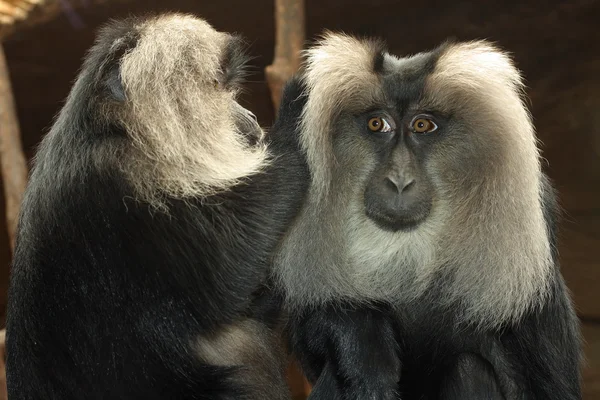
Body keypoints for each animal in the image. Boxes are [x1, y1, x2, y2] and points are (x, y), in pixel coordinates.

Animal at [5, 13, 310, 400]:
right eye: (220, 87)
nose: (251, 117)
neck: (117, 131)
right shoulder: (115, 185)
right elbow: (227, 267)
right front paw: (299, 108)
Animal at [272, 34, 580, 400]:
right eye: (377, 124)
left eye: (423, 126)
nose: (399, 181)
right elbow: (317, 333)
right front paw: (366, 352)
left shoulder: (537, 225)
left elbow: (550, 385)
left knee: (468, 368)